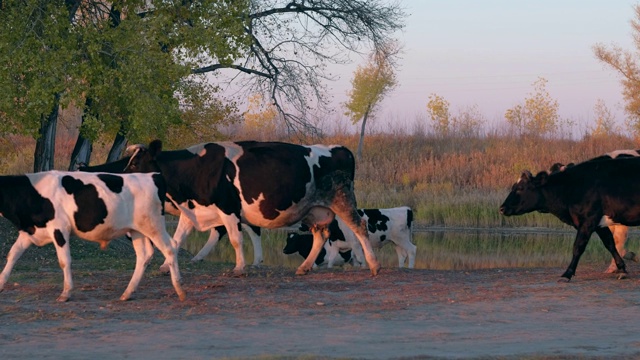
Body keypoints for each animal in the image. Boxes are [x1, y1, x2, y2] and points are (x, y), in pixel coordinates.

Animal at [0, 170, 185, 302]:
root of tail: (153, 175)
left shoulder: (59, 228)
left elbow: (64, 261)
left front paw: (66, 293)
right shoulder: (28, 233)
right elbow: (13, 254)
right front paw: (1, 284)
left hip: (154, 225)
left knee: (170, 247)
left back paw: (179, 290)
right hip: (137, 230)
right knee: (144, 255)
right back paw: (128, 292)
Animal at [122, 139, 380, 274]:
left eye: (136, 163)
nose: (121, 177)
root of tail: (340, 148)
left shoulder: (227, 208)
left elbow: (236, 239)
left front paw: (239, 267)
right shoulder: (193, 210)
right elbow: (177, 239)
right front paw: (166, 266)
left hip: (342, 200)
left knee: (359, 227)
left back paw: (374, 264)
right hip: (315, 210)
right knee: (321, 235)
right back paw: (305, 267)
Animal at [498, 158, 640, 282]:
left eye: (520, 188)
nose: (502, 208)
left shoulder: (588, 220)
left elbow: (578, 247)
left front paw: (567, 274)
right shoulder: (599, 224)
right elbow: (610, 243)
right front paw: (622, 268)